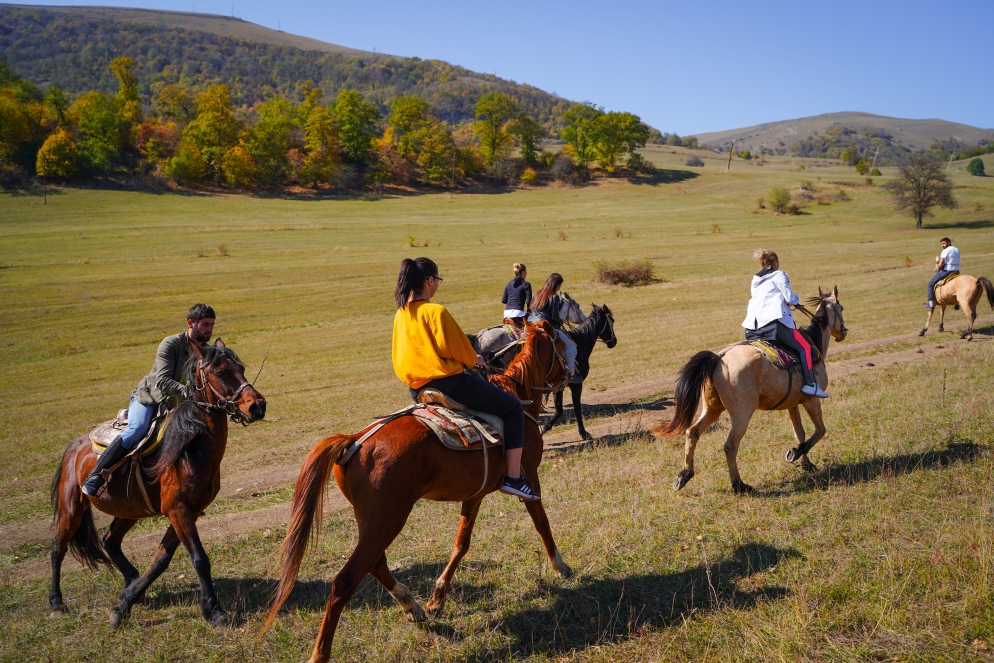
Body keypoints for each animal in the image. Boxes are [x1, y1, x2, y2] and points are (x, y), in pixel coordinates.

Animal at [48, 344, 266, 632]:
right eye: (220, 372)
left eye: (240, 368)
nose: (257, 406)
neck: (192, 445)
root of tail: (76, 444)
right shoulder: (178, 509)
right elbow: (199, 558)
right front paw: (215, 610)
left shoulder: (188, 511)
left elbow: (160, 560)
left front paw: (125, 604)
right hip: (71, 507)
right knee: (58, 548)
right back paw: (56, 603)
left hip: (128, 510)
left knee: (110, 541)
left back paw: (130, 583)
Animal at [264, 322, 568, 663]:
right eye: (559, 342)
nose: (570, 373)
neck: (519, 394)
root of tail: (355, 440)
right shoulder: (530, 476)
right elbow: (542, 523)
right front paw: (561, 566)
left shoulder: (475, 494)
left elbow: (461, 544)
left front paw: (437, 598)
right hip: (388, 520)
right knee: (345, 581)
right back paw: (321, 652)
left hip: (374, 522)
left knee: (376, 564)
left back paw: (414, 607)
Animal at [652, 288, 844, 496]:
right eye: (841, 307)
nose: (843, 333)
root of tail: (719, 358)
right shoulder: (811, 400)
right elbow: (820, 430)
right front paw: (797, 454)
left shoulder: (792, 404)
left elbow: (799, 433)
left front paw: (805, 462)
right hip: (742, 414)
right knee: (730, 446)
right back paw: (739, 485)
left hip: (712, 408)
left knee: (692, 432)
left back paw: (684, 475)